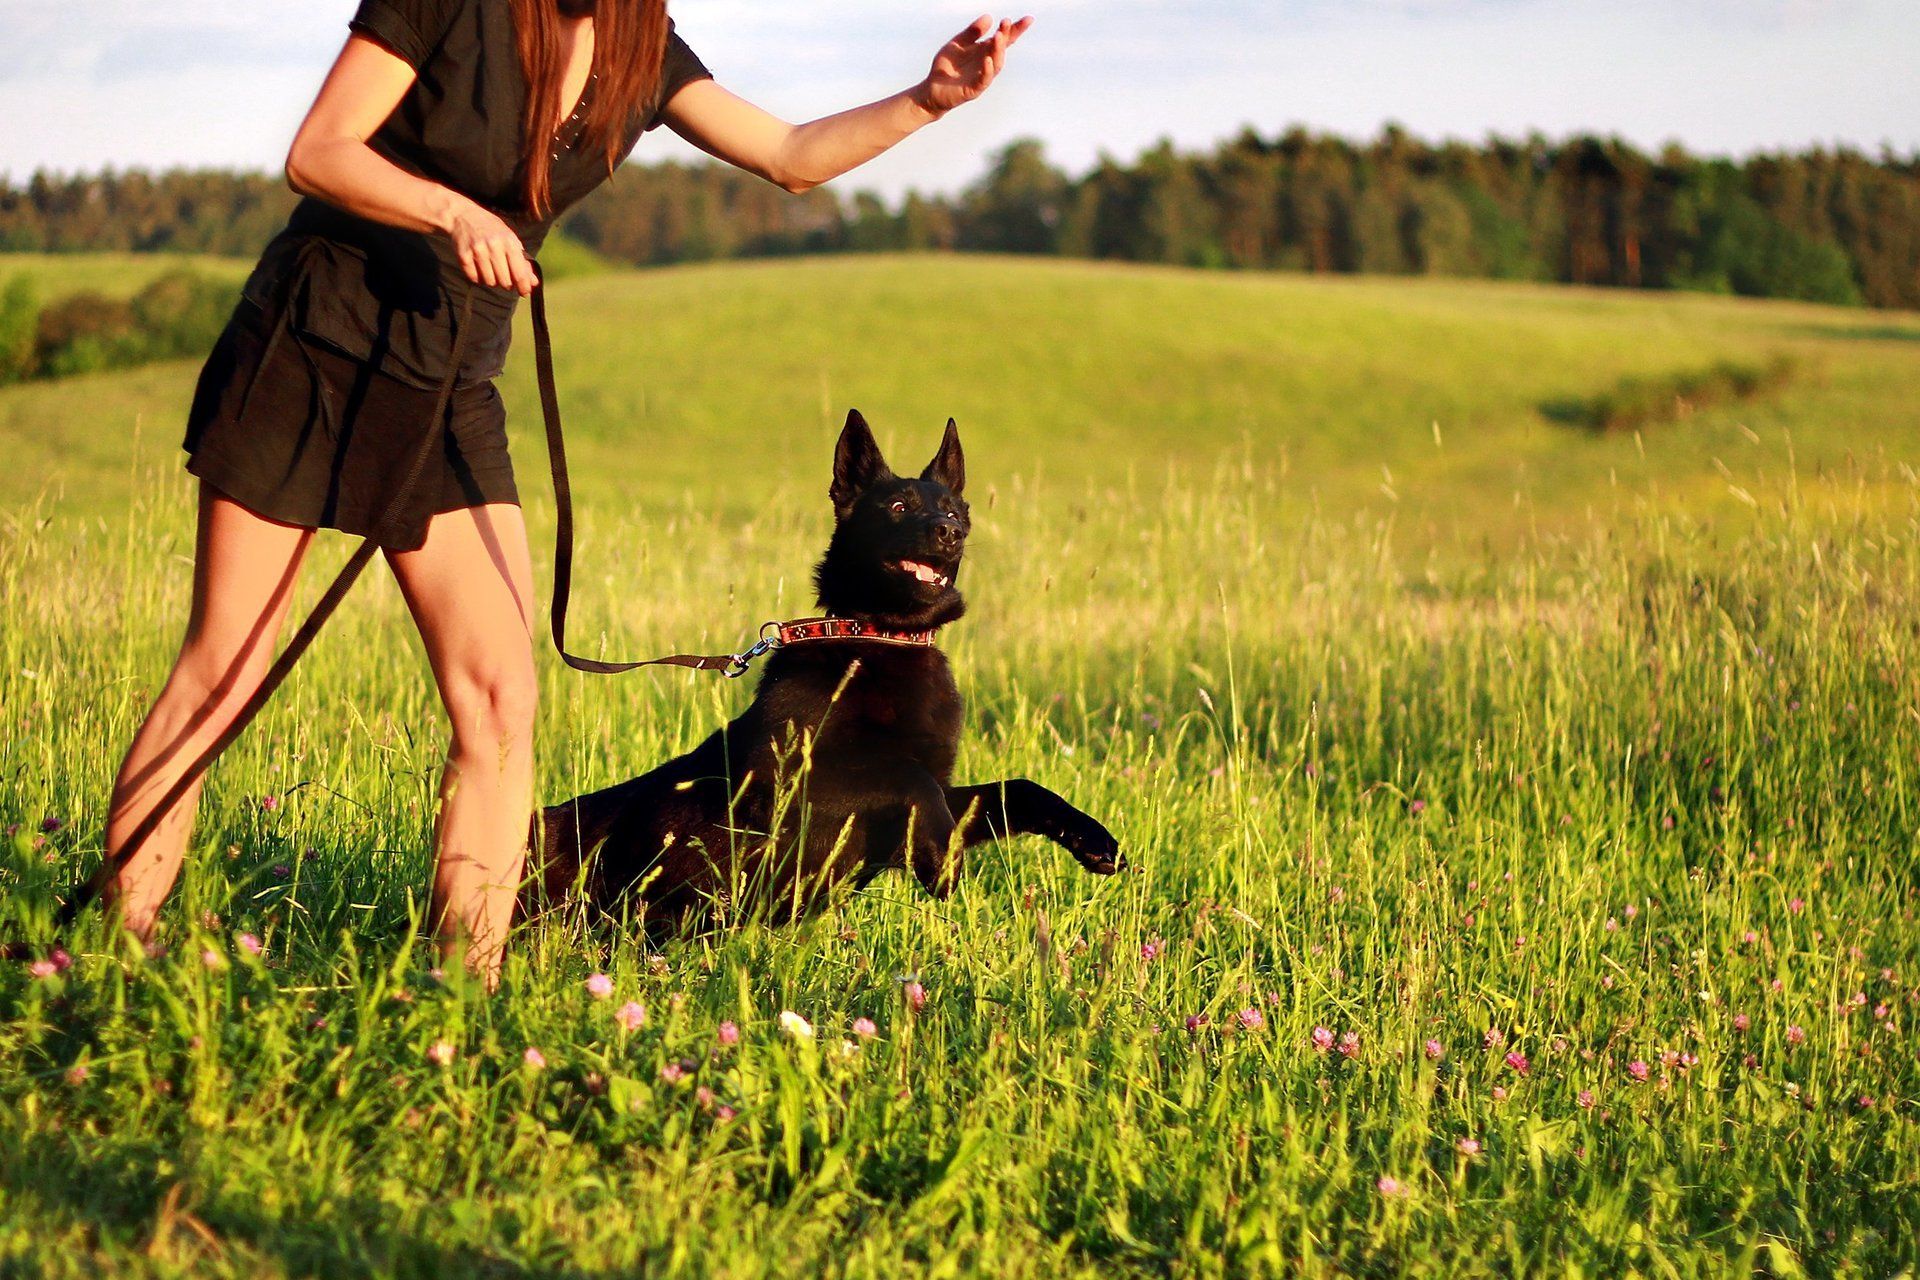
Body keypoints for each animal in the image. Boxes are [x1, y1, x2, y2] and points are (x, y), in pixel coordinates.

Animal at [526, 416, 1121, 936]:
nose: (949, 532)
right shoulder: (792, 786)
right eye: (898, 506)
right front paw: (940, 861)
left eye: (955, 509)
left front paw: (1090, 838)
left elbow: (1012, 788)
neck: (880, 638)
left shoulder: (913, 816)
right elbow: (906, 774)